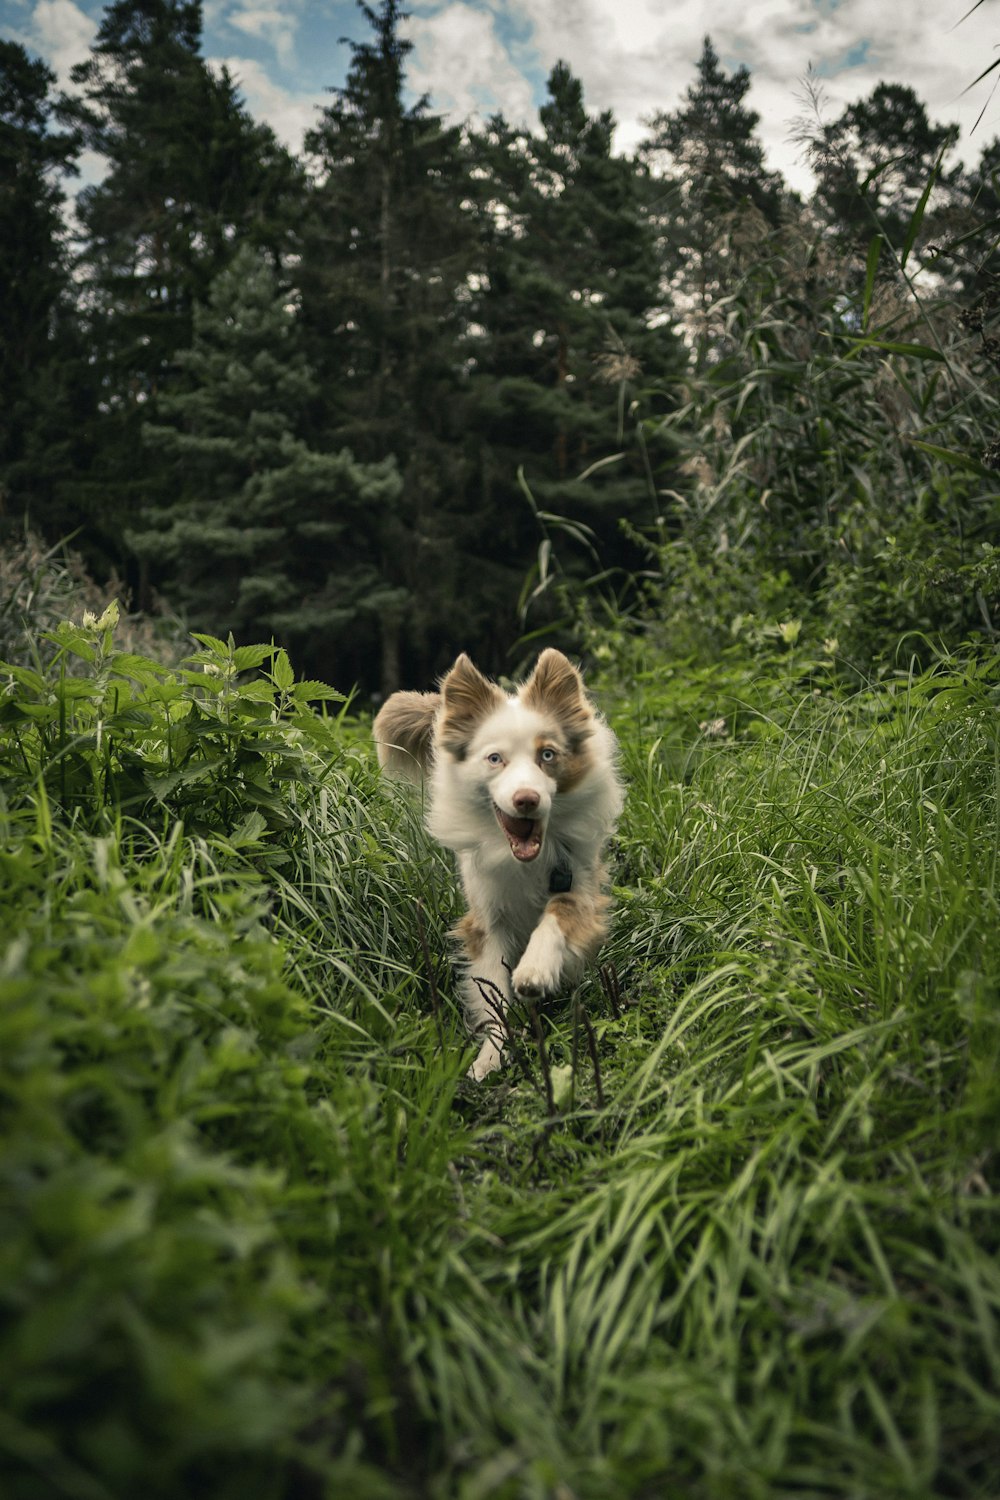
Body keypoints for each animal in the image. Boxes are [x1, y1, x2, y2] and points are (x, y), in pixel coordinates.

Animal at [374, 651, 626, 1074]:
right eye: (495, 759)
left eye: (547, 755)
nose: (526, 799)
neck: (525, 860)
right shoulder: (486, 916)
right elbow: (492, 989)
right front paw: (491, 1056)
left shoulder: (578, 880)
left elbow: (556, 920)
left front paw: (535, 970)